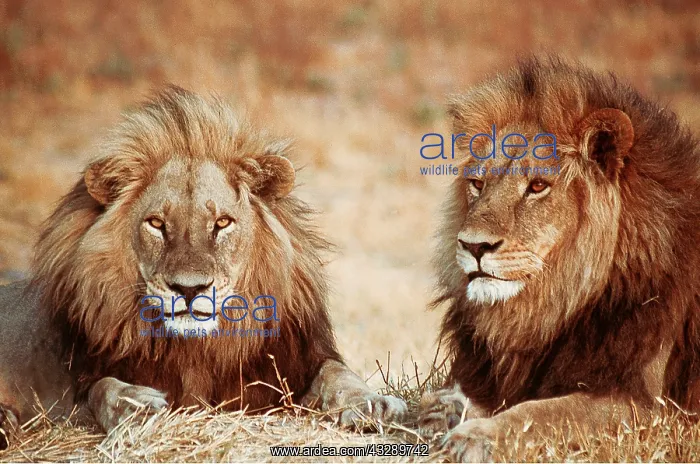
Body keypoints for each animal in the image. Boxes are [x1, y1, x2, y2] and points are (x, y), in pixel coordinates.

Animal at [0, 85, 406, 449]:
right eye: (157, 224)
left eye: (222, 223)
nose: (189, 289)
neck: (198, 349)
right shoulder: (73, 389)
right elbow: (103, 388)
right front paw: (138, 408)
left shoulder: (293, 366)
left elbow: (338, 375)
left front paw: (374, 404)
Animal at [417, 56, 700, 461]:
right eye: (477, 184)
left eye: (537, 186)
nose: (473, 246)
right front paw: (441, 409)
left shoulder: (648, 409)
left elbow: (543, 413)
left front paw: (476, 436)